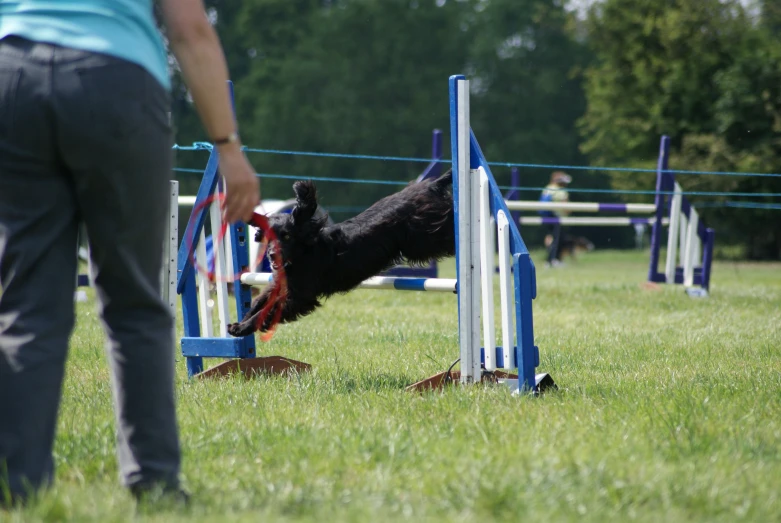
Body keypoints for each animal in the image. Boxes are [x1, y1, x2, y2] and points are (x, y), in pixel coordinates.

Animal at [225, 170, 454, 338]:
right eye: (268, 238)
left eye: (287, 236)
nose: (272, 256)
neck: (303, 253)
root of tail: (430, 186)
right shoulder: (279, 284)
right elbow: (258, 303)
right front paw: (239, 322)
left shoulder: (300, 295)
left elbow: (268, 310)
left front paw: (242, 328)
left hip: (425, 239)